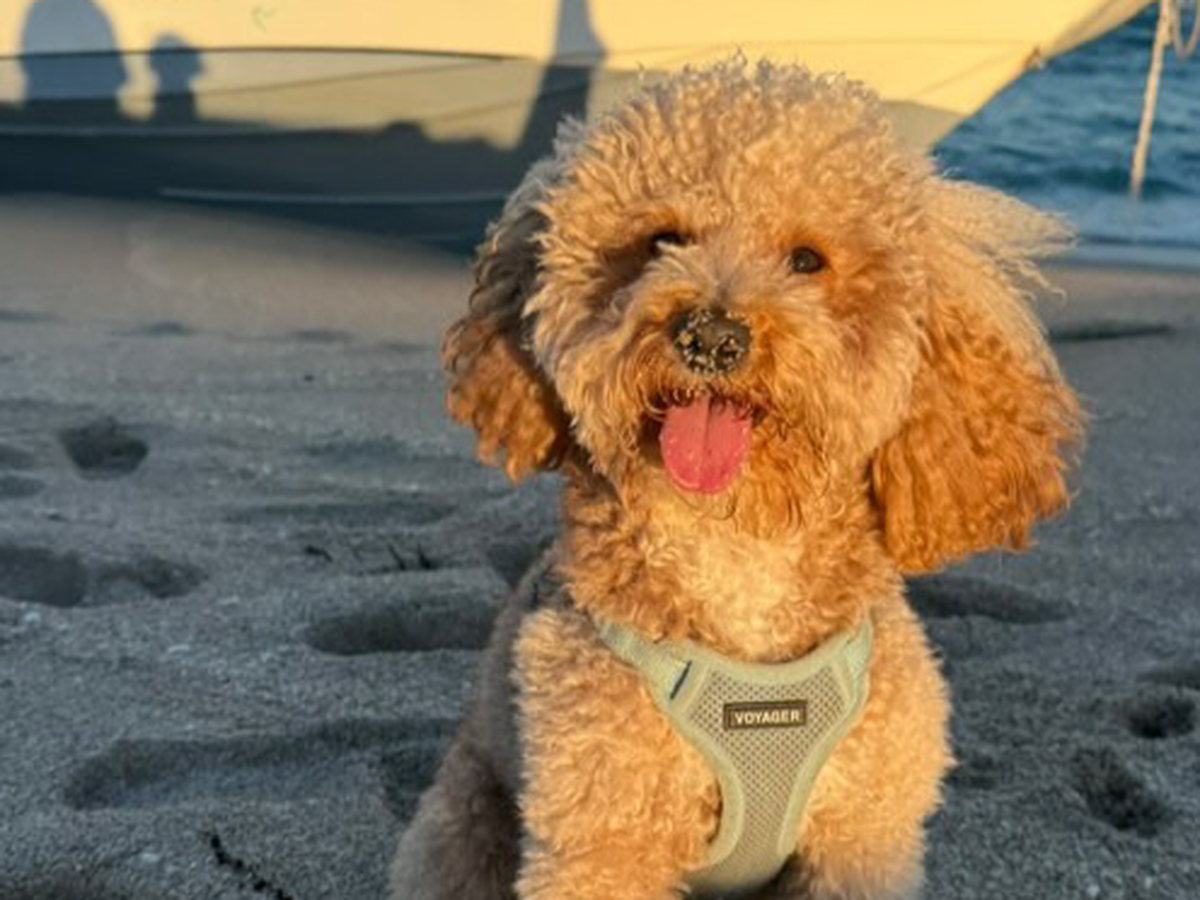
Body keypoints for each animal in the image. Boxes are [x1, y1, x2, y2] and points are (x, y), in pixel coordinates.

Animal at [389, 61, 1081, 900]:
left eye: (808, 260)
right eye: (662, 241)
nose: (711, 335)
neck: (739, 550)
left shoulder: (860, 838)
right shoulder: (602, 835)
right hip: (461, 826)